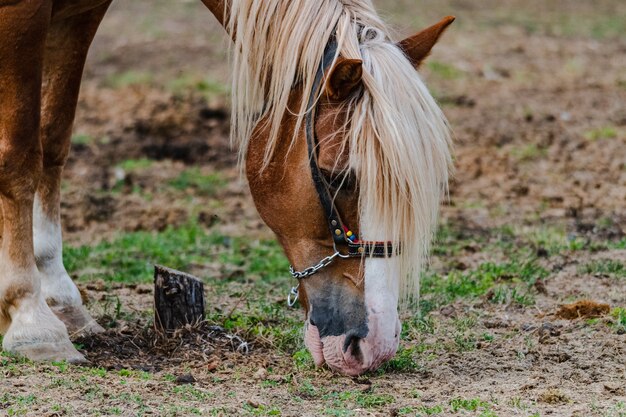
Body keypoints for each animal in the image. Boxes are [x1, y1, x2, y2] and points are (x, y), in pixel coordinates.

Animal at [0, 0, 448, 376]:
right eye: (338, 177)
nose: (376, 346)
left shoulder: (79, 14)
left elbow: (53, 141)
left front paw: (60, 300)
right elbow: (19, 156)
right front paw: (31, 319)